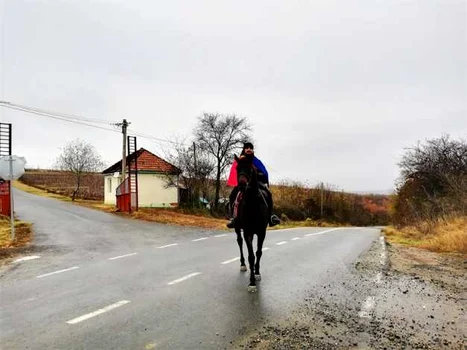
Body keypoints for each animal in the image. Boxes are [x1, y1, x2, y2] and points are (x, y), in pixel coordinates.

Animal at [234, 154, 270, 292]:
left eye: (250, 168)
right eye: (237, 168)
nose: (242, 185)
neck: (252, 203)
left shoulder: (261, 232)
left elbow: (258, 253)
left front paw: (257, 273)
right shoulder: (248, 232)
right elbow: (251, 256)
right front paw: (252, 282)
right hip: (237, 228)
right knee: (239, 242)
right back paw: (243, 264)